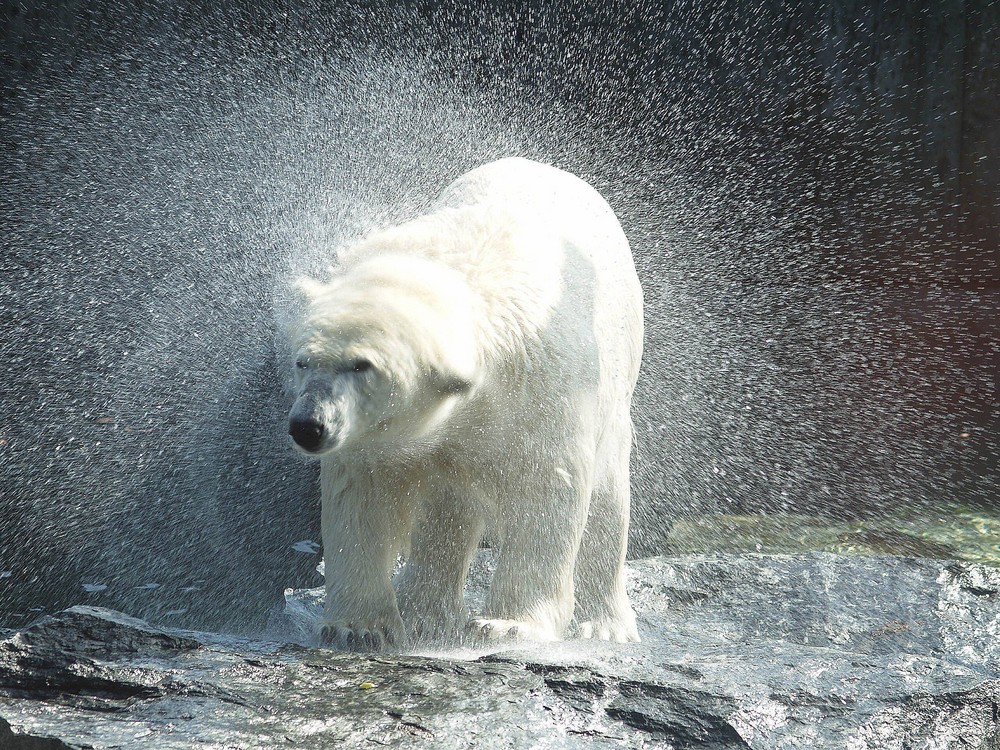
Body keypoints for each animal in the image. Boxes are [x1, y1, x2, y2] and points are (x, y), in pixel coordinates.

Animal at [286, 159, 644, 652]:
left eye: (362, 365)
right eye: (303, 361)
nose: (307, 425)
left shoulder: (543, 388)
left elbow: (547, 490)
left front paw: (510, 625)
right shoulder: (378, 437)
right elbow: (361, 497)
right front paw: (358, 627)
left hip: (616, 380)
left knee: (608, 495)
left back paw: (603, 623)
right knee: (448, 511)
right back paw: (426, 613)